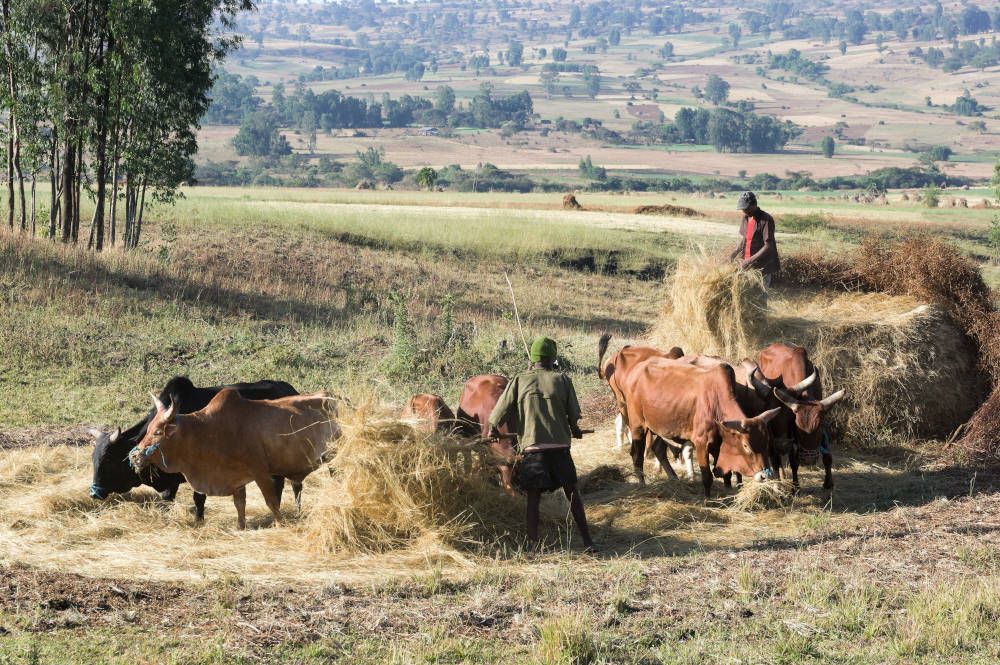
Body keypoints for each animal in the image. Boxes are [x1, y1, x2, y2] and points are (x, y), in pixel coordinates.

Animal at [130, 386, 340, 528]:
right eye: (148, 429)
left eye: (158, 432)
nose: (135, 457)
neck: (206, 431)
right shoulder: (236, 478)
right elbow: (240, 504)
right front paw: (241, 527)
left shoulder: (261, 472)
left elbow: (271, 501)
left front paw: (279, 524)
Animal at [616, 358, 780, 492]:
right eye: (746, 446)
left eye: (766, 442)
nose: (764, 475)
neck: (717, 402)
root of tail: (634, 371)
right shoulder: (701, 443)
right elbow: (707, 477)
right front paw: (708, 501)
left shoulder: (718, 446)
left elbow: (727, 476)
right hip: (638, 426)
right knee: (637, 455)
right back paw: (642, 484)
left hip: (662, 429)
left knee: (657, 449)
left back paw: (674, 478)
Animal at [756, 342, 844, 488]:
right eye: (797, 428)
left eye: (818, 427)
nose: (808, 459)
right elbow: (793, 461)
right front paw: (795, 487)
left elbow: (827, 455)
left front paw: (828, 484)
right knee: (776, 459)